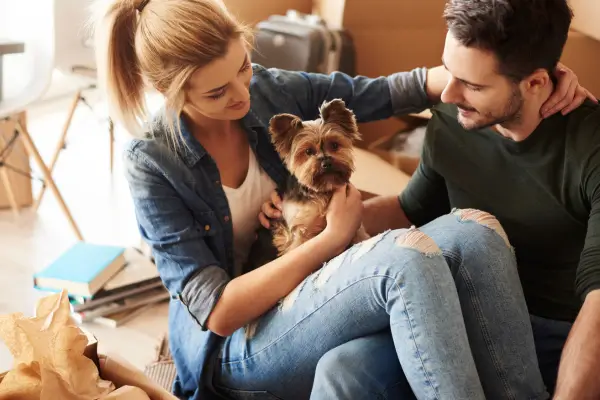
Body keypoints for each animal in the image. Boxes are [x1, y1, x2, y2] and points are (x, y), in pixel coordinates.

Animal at [268, 98, 370, 255]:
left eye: (334, 145)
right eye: (308, 151)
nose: (326, 162)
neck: (322, 190)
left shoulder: (356, 228)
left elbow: (360, 236)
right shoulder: (299, 230)